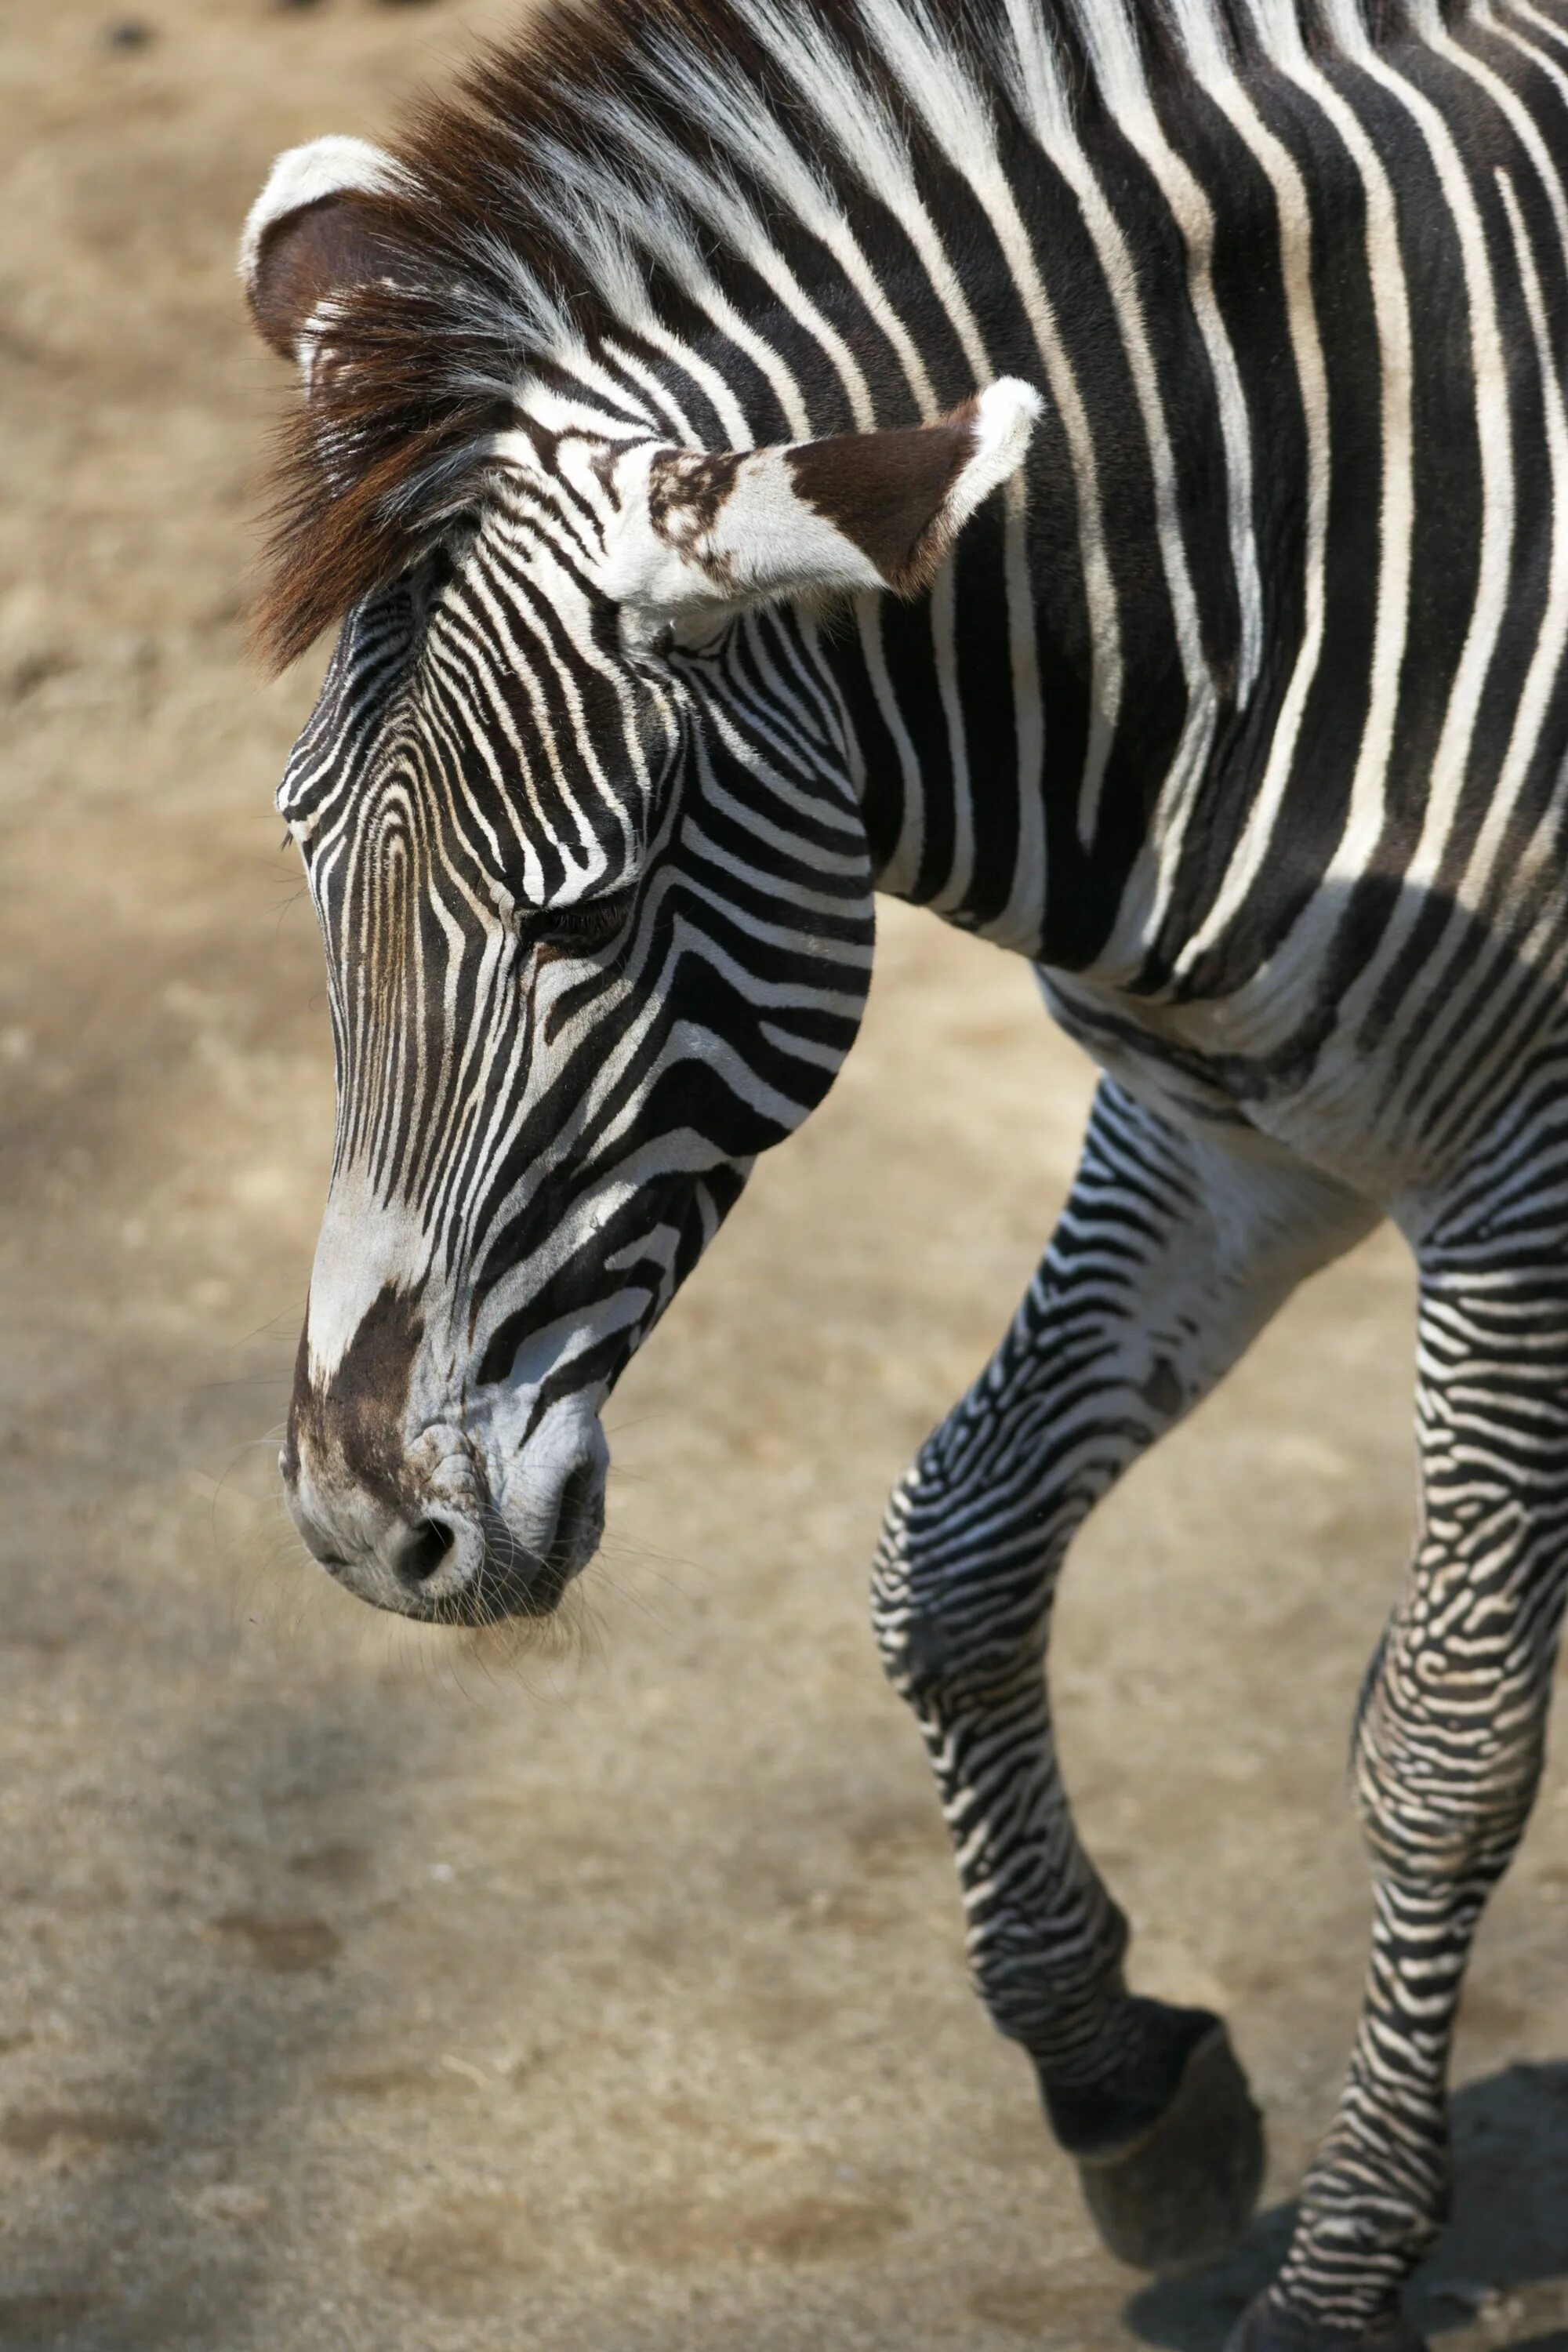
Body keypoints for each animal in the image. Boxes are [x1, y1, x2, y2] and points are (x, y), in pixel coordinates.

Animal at [239, 4, 1568, 2333]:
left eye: (588, 917)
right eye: (308, 872)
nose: (359, 1527)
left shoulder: (1520, 1176)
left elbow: (1445, 1737)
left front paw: (1345, 2265)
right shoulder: (1225, 1133)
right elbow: (945, 1562)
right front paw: (1121, 2078)